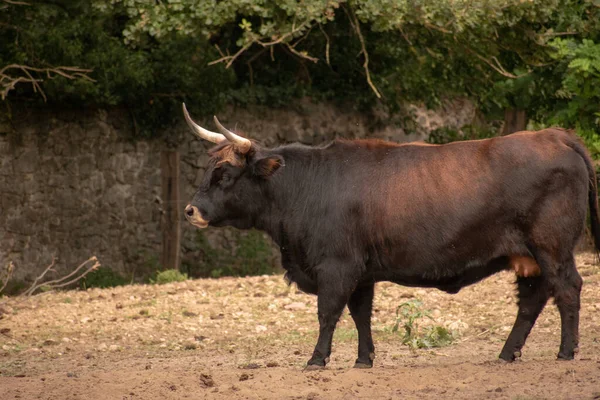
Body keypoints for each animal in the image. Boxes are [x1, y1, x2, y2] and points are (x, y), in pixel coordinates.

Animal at [182, 104, 600, 370]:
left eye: (225, 174)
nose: (191, 210)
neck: (306, 187)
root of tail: (556, 137)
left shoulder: (336, 267)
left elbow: (328, 313)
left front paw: (316, 359)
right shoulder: (362, 273)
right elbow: (360, 315)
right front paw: (363, 359)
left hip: (552, 248)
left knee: (567, 289)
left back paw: (566, 352)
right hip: (529, 258)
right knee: (531, 301)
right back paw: (506, 354)